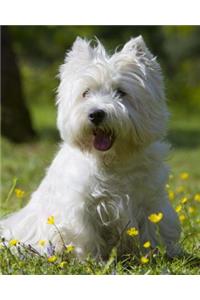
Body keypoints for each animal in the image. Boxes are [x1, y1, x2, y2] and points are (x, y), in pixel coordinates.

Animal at [0, 35, 181, 260]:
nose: (96, 114)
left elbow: (151, 232)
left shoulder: (150, 201)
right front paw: (92, 261)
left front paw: (152, 256)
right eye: (85, 93)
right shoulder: (81, 207)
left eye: (121, 92)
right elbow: (86, 236)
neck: (112, 160)